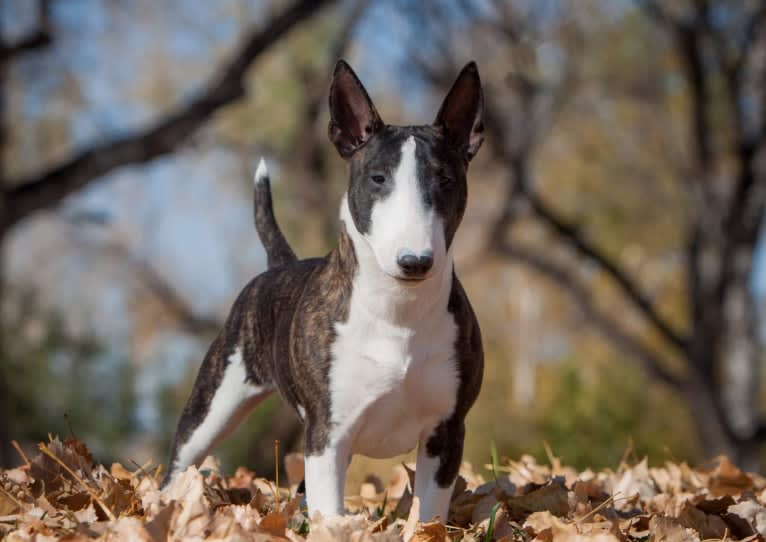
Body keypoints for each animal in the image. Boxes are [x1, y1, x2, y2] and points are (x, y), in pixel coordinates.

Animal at [164, 58, 486, 524]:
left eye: (444, 179)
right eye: (378, 178)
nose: (414, 261)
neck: (398, 312)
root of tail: (279, 266)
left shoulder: (446, 431)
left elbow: (427, 518)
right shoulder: (327, 434)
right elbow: (330, 516)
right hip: (213, 404)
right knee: (180, 459)